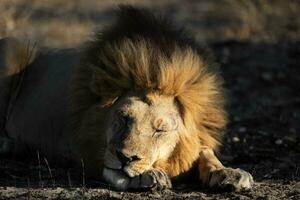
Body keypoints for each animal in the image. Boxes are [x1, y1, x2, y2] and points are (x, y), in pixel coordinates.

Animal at [0, 5, 253, 191]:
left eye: (160, 130)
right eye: (123, 118)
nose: (125, 158)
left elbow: (205, 152)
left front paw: (229, 173)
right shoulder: (90, 148)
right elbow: (112, 169)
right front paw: (148, 175)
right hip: (11, 48)